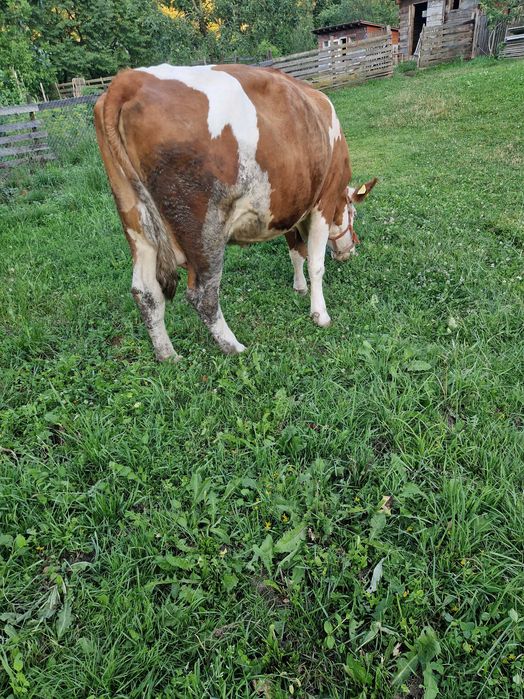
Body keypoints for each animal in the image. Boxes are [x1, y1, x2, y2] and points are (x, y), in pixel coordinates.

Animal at [94, 63, 376, 361]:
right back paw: (234, 346)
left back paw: (168, 356)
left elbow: (296, 253)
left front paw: (299, 287)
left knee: (145, 292)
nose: (350, 252)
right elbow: (316, 263)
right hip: (204, 228)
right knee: (202, 295)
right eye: (354, 214)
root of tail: (129, 80)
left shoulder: (289, 206)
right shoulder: (324, 199)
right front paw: (320, 314)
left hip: (137, 223)